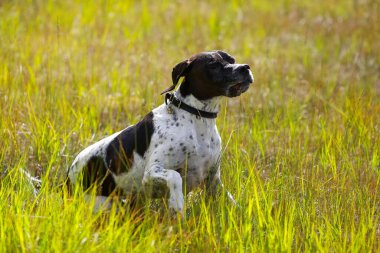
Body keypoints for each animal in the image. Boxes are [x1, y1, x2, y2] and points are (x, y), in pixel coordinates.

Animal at [67, 50, 254, 212]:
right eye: (213, 64)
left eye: (232, 59)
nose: (245, 68)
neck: (196, 118)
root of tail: (68, 176)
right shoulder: (152, 172)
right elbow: (175, 176)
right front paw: (177, 203)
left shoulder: (213, 179)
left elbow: (231, 201)